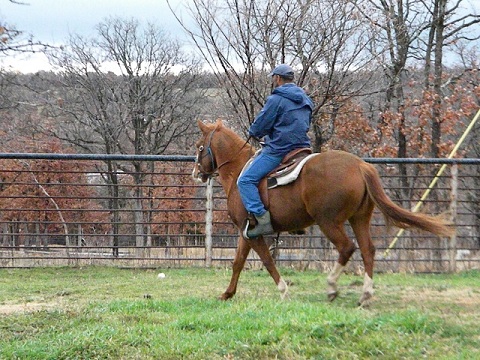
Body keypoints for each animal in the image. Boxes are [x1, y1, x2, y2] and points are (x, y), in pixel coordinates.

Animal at [192, 119, 454, 306]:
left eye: (199, 147)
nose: (196, 173)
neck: (238, 172)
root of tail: (360, 165)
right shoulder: (245, 232)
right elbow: (237, 262)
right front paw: (227, 294)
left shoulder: (250, 232)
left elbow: (266, 260)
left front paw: (283, 291)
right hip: (359, 218)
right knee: (368, 250)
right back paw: (365, 295)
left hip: (329, 222)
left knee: (347, 248)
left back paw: (331, 287)